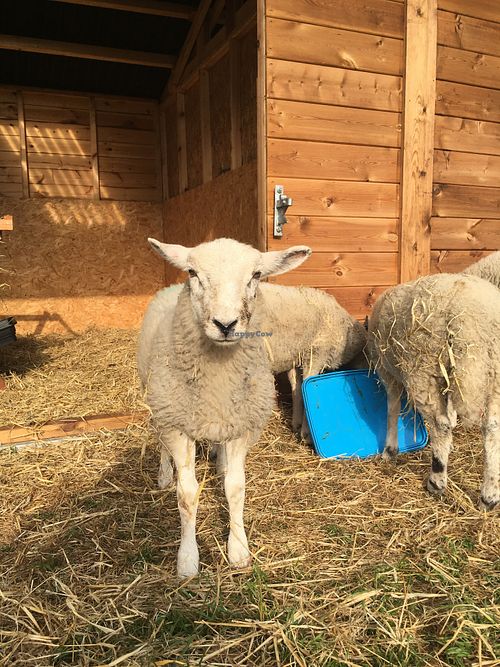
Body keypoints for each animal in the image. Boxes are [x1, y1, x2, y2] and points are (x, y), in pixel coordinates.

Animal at [138, 237, 311, 578]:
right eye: (192, 272)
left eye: (256, 275)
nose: (226, 324)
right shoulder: (178, 426)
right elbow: (187, 494)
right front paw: (187, 560)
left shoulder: (241, 425)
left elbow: (236, 488)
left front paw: (239, 550)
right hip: (157, 401)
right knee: (159, 440)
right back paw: (164, 474)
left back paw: (219, 462)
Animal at [367, 273, 500, 510]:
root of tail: (471, 321)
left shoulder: (387, 371)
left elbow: (392, 408)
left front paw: (390, 450)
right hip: (494, 373)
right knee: (493, 429)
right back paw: (489, 496)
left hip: (423, 369)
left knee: (440, 425)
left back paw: (436, 481)